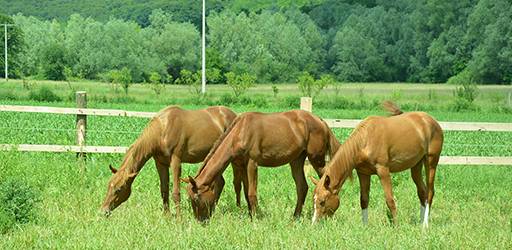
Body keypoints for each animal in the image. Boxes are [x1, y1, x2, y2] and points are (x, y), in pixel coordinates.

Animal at [101, 105, 242, 217]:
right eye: (108, 186)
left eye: (119, 189)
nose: (103, 211)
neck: (162, 130)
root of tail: (234, 115)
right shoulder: (160, 163)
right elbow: (164, 190)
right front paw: (167, 216)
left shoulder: (176, 161)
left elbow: (175, 192)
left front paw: (179, 219)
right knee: (220, 182)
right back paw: (212, 209)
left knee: (236, 183)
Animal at [183, 110, 340, 222]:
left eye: (196, 198)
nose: (200, 220)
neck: (240, 132)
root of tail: (321, 121)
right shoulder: (241, 165)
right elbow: (246, 191)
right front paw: (250, 215)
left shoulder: (252, 163)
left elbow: (252, 193)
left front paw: (256, 218)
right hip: (296, 161)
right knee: (302, 187)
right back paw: (295, 217)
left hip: (316, 159)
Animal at [310, 101, 442, 227]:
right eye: (313, 200)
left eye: (322, 201)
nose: (314, 223)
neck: (365, 140)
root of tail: (431, 121)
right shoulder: (363, 173)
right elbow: (363, 200)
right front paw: (365, 226)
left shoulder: (383, 171)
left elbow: (390, 200)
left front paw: (396, 226)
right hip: (416, 166)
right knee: (422, 192)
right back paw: (420, 222)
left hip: (431, 162)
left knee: (430, 192)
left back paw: (425, 225)